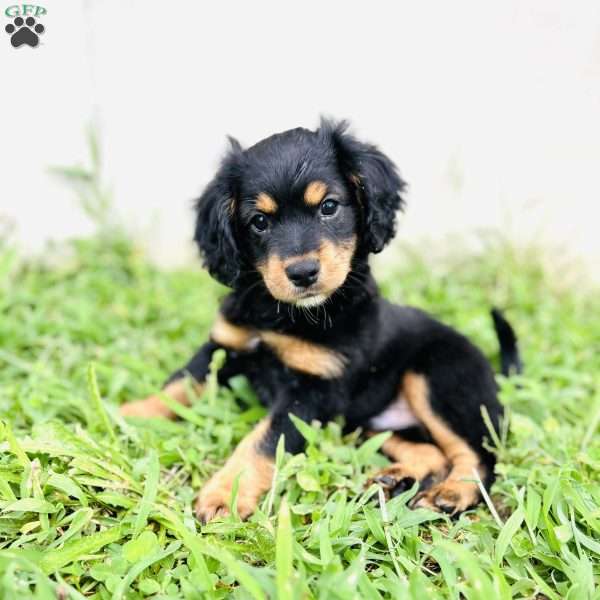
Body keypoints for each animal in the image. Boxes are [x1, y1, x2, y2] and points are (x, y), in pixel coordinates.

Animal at [119, 120, 516, 520]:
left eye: (329, 206)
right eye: (259, 222)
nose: (303, 273)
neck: (282, 314)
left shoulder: (312, 392)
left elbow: (262, 440)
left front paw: (225, 495)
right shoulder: (225, 345)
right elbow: (178, 384)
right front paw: (130, 413)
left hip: (438, 379)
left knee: (480, 455)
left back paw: (451, 492)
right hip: (370, 423)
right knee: (431, 451)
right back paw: (393, 480)